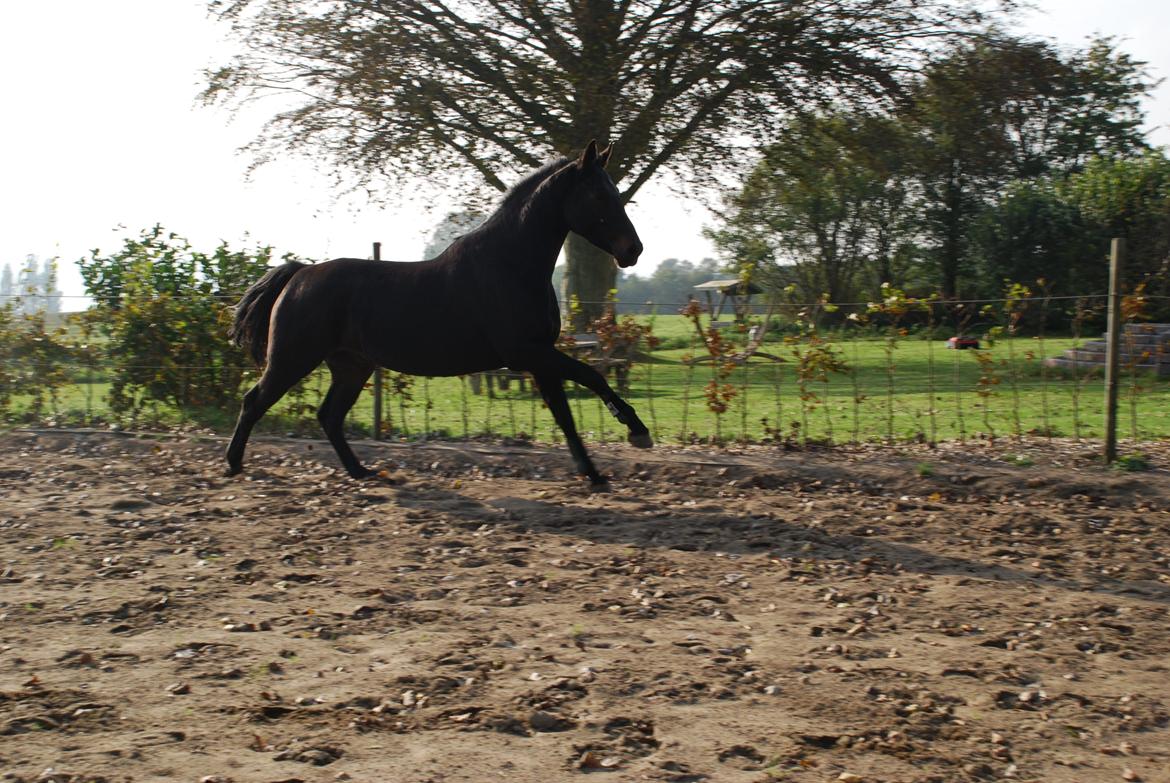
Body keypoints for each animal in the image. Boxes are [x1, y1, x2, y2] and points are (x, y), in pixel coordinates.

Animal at [225, 140, 650, 482]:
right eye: (598, 195)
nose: (633, 250)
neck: (509, 265)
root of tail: (299, 274)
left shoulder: (539, 357)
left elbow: (566, 415)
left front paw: (595, 473)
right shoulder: (529, 353)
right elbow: (592, 376)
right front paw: (635, 431)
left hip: (351, 365)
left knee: (328, 416)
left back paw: (361, 471)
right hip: (292, 359)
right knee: (254, 402)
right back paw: (233, 464)